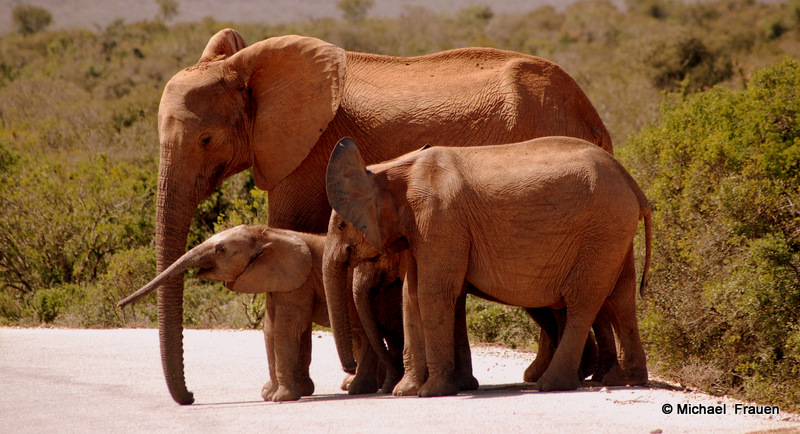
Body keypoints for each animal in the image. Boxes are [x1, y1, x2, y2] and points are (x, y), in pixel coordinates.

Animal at [115, 225, 404, 402]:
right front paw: (268, 394)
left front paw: (280, 398)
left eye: (220, 249)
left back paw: (359, 389)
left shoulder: (298, 279)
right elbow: (270, 329)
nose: (192, 396)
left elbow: (286, 329)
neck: (267, 233)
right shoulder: (276, 279)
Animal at [152, 28, 612, 406]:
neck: (246, 65)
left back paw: (571, 375)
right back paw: (569, 374)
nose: (190, 398)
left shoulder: (302, 151)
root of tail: (592, 116)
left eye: (206, 139)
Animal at [324, 136, 648, 396]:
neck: (394, 169)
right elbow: (412, 295)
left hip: (601, 230)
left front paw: (432, 392)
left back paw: (552, 384)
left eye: (341, 225)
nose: (348, 368)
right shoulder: (421, 229)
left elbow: (433, 293)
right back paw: (625, 379)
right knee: (621, 298)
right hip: (614, 232)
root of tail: (632, 182)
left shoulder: (440, 218)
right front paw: (406, 392)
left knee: (583, 300)